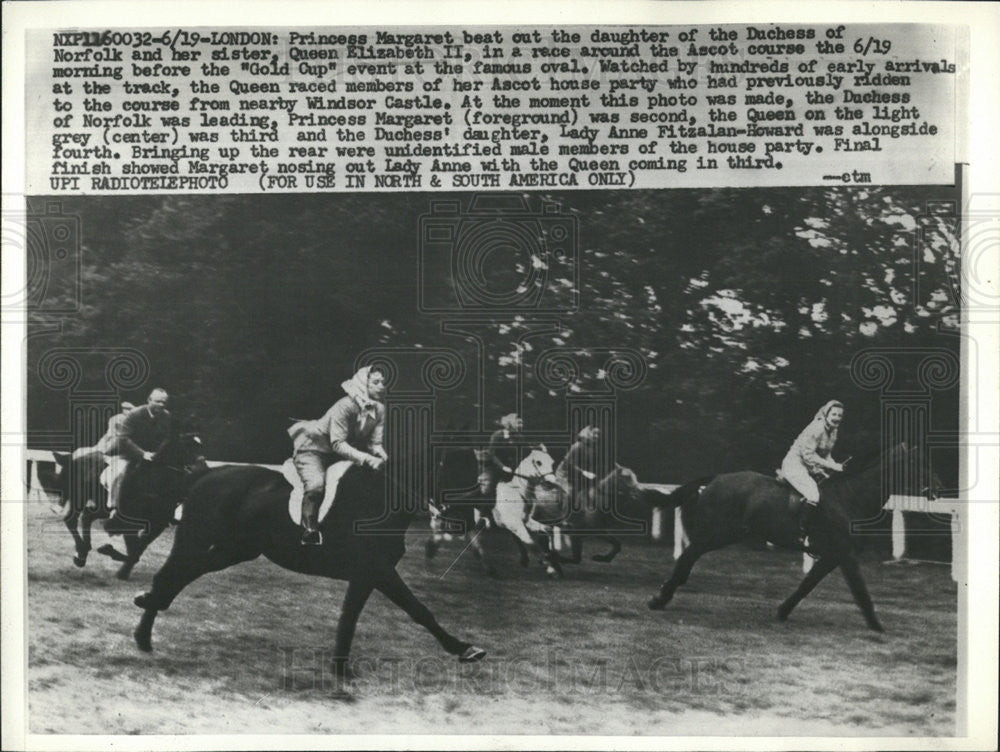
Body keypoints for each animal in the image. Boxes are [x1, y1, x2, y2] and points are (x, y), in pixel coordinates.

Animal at [53, 432, 206, 580]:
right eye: (188, 447)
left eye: (200, 447)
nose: (202, 467)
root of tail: (74, 458)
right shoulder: (129, 523)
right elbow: (134, 551)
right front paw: (109, 552)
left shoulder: (157, 526)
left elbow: (136, 552)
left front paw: (120, 568)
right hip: (79, 498)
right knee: (72, 520)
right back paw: (81, 553)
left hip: (103, 507)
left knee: (87, 516)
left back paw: (83, 552)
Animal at [134, 452, 488, 676]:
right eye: (455, 469)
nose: (473, 520)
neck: (380, 498)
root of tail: (209, 473)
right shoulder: (376, 571)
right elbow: (415, 610)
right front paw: (465, 649)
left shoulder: (370, 574)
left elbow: (355, 617)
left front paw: (340, 668)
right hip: (198, 540)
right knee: (171, 575)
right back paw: (145, 626)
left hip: (233, 550)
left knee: (179, 576)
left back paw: (146, 623)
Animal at [648, 444, 928, 632]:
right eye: (916, 464)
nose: (933, 490)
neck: (850, 498)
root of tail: (716, 478)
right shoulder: (845, 554)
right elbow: (860, 591)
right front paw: (876, 624)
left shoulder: (832, 556)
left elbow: (807, 584)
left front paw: (783, 611)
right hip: (717, 534)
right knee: (687, 555)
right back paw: (660, 598)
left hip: (722, 534)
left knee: (688, 556)